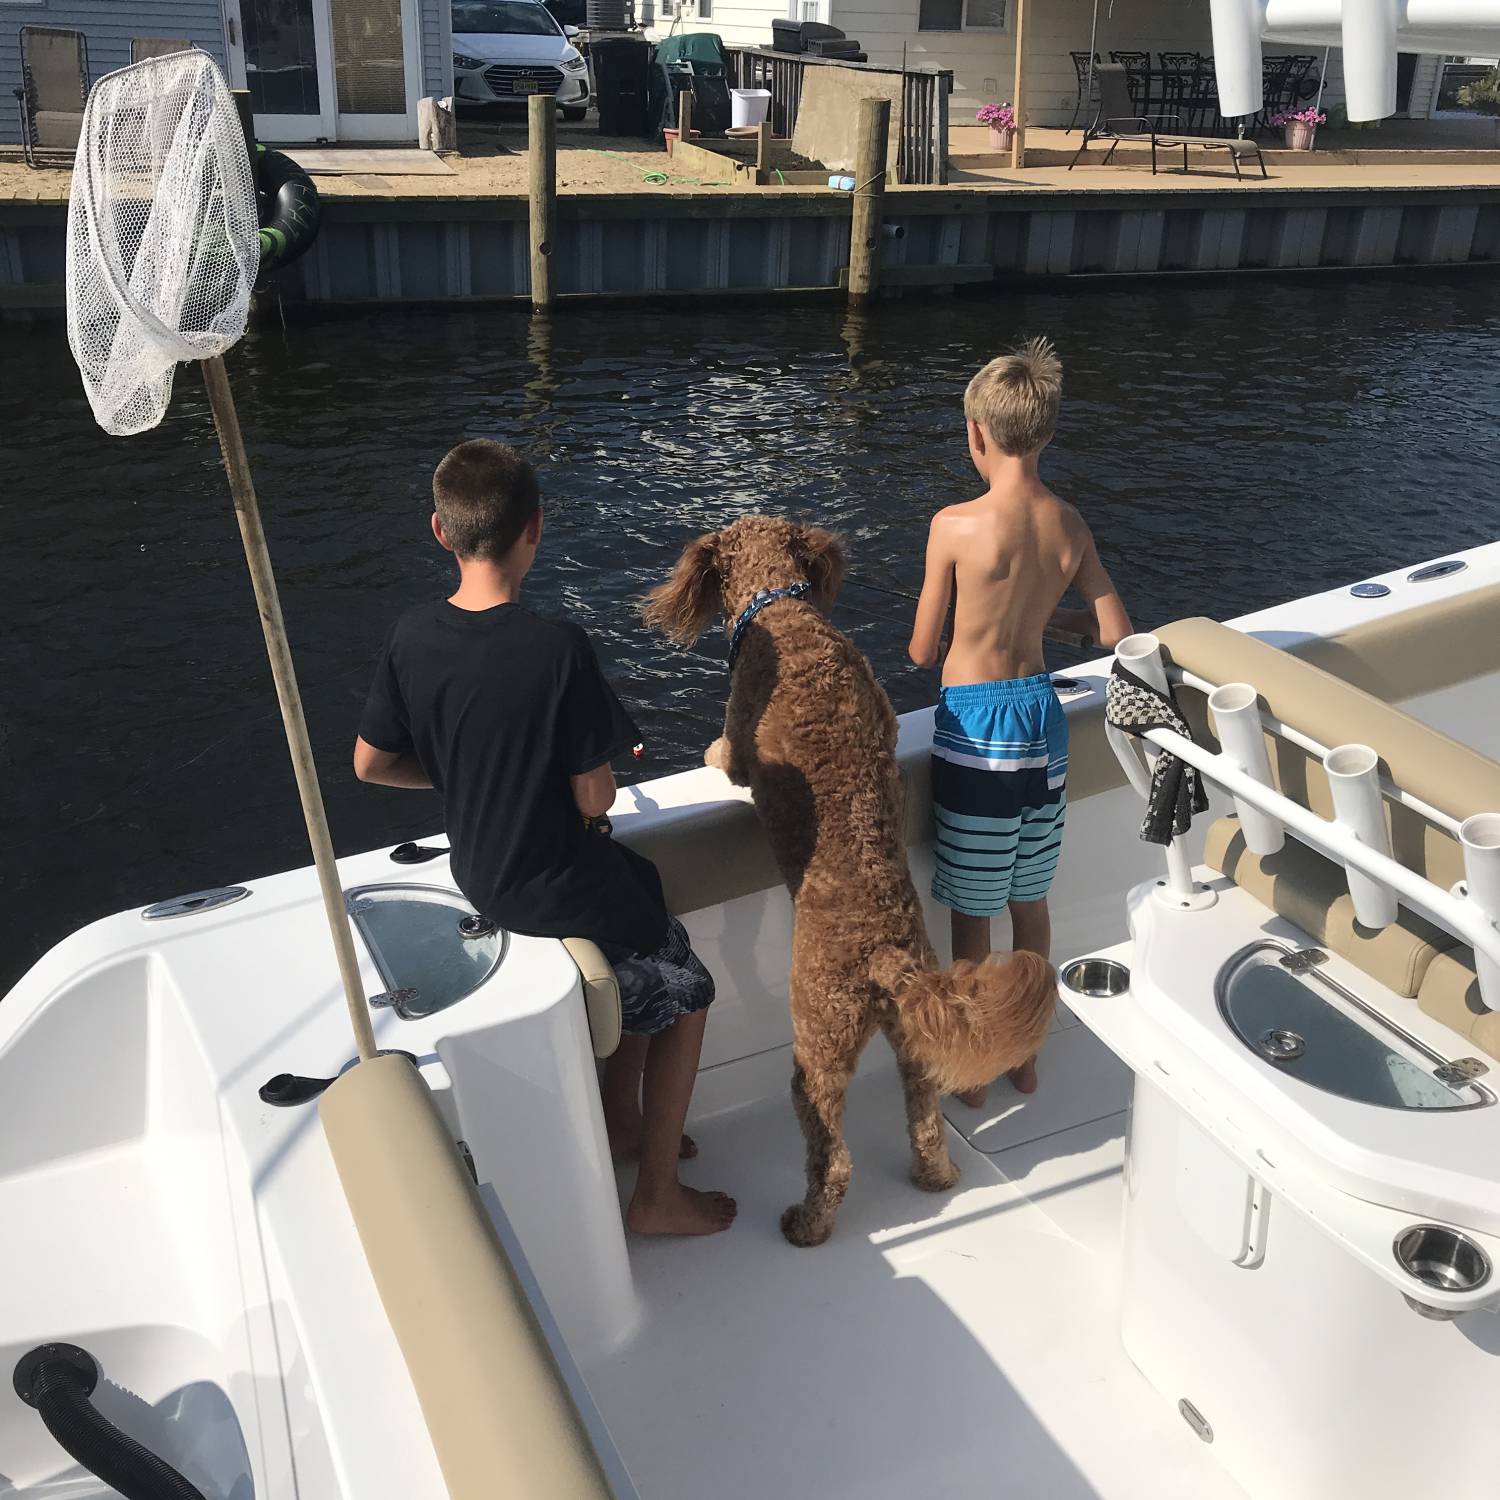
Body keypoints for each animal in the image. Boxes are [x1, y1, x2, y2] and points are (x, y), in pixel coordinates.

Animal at [645, 522, 1056, 1248]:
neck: (783, 609)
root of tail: (886, 956)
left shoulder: (740, 727)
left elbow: (728, 755)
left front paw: (711, 756)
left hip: (819, 1041)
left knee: (831, 1156)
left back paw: (807, 1224)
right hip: (912, 1047)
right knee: (925, 1121)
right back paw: (936, 1178)